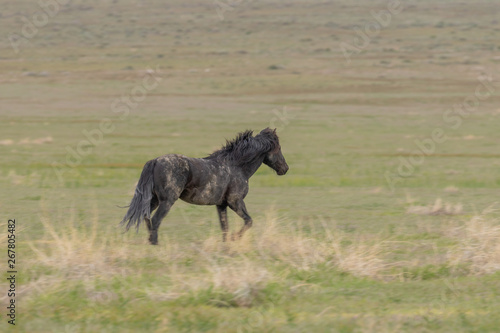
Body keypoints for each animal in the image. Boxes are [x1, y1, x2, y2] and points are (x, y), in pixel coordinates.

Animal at [118, 127, 288, 244]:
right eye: (279, 148)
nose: (285, 169)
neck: (237, 166)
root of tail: (155, 161)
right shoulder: (235, 202)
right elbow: (248, 221)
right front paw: (235, 239)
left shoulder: (221, 205)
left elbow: (224, 228)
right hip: (167, 201)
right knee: (155, 220)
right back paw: (155, 245)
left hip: (154, 200)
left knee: (146, 217)